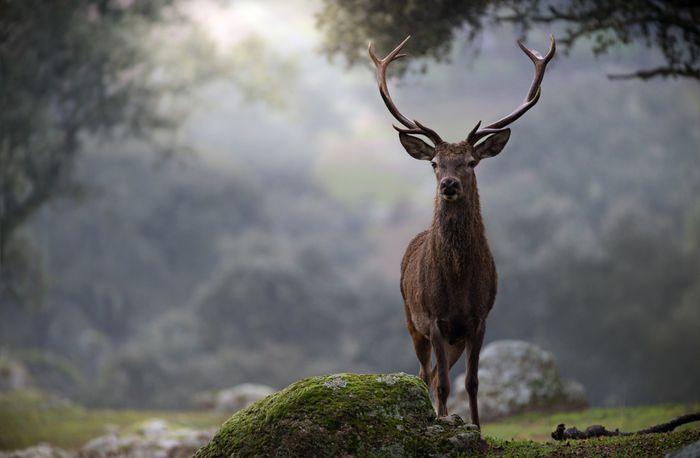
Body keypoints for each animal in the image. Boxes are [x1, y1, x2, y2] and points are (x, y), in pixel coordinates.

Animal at [370, 34, 556, 428]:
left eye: (471, 162)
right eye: (435, 163)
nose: (449, 185)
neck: (457, 283)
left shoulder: (479, 319)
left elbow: (472, 382)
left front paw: (478, 427)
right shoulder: (434, 320)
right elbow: (443, 384)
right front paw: (445, 421)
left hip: (452, 337)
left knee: (433, 374)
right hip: (411, 319)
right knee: (426, 374)